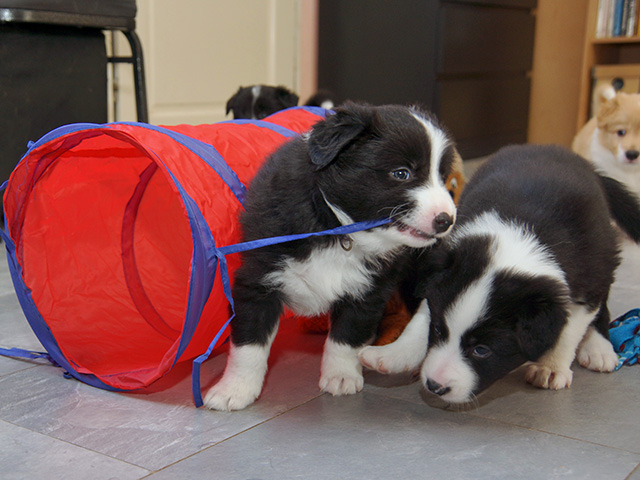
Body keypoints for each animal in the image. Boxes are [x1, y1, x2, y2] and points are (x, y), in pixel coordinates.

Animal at [204, 102, 458, 410]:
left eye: (443, 178)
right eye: (401, 174)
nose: (446, 220)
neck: (337, 228)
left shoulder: (368, 290)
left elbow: (346, 336)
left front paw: (341, 376)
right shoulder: (257, 278)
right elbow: (249, 342)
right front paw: (234, 390)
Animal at [359, 144, 640, 405]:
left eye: (482, 350)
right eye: (438, 331)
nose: (435, 386)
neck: (522, 232)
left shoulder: (584, 286)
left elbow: (568, 329)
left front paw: (550, 367)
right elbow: (424, 313)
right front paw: (393, 355)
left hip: (604, 260)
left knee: (601, 304)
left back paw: (598, 348)